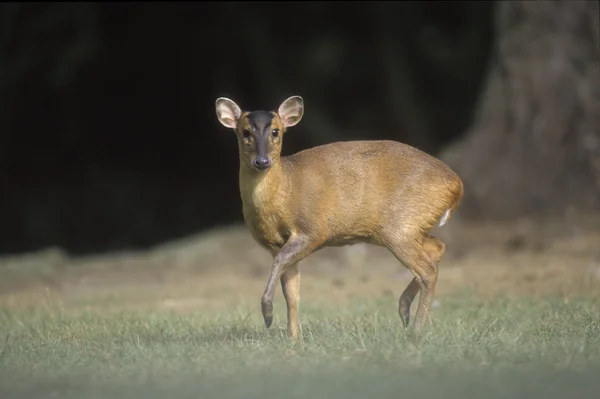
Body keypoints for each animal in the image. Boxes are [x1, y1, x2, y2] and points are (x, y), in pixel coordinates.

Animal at [216, 95, 464, 340]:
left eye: (276, 131)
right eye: (245, 132)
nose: (262, 161)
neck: (285, 188)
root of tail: (456, 185)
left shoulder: (313, 229)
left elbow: (281, 265)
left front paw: (267, 314)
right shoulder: (276, 243)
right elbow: (291, 292)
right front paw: (293, 338)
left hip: (399, 226)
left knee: (428, 270)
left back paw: (415, 329)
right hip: (410, 226)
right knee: (437, 247)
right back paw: (404, 310)